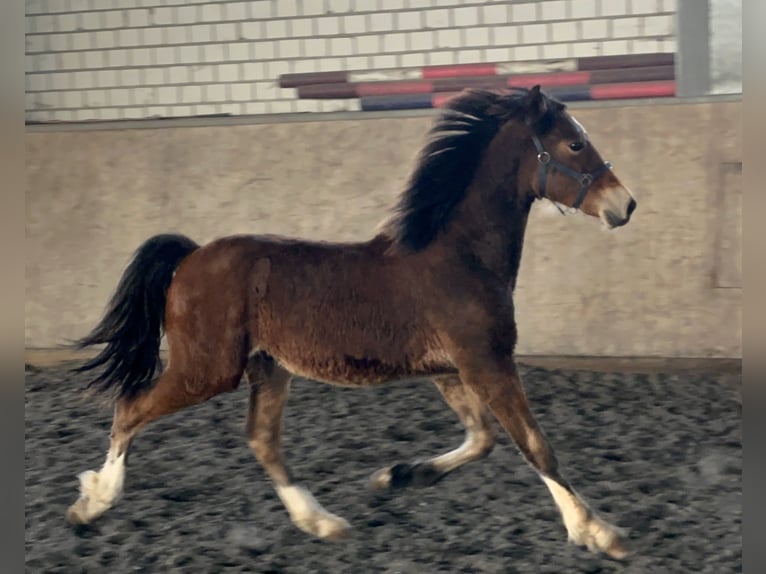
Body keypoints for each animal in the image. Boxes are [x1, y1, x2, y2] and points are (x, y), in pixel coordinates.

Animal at [66, 85, 637, 559]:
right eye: (574, 145)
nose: (625, 205)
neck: (458, 258)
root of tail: (191, 256)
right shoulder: (486, 362)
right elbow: (534, 444)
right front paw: (597, 532)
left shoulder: (451, 371)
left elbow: (484, 439)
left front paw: (397, 476)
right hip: (208, 370)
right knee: (131, 408)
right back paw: (92, 503)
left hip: (268, 367)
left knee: (261, 440)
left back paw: (322, 523)